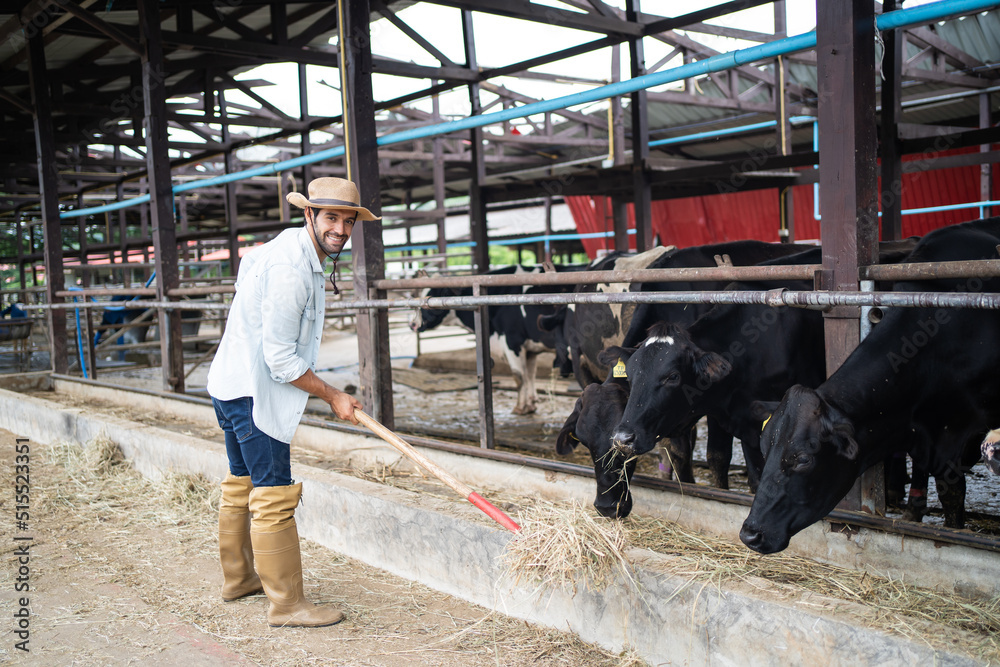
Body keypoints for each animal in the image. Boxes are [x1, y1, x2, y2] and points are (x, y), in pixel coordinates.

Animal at [410, 264, 576, 412]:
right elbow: (530, 374)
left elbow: (518, 376)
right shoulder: (530, 348)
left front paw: (520, 408)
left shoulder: (512, 341)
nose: (412, 324)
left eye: (432, 295)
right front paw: (531, 403)